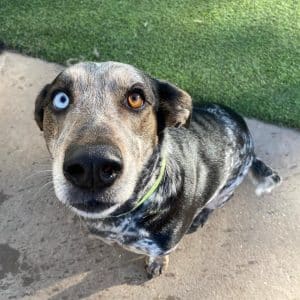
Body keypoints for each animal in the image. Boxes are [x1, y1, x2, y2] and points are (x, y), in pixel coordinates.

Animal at [35, 61, 282, 278]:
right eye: (60, 98)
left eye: (135, 98)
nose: (92, 166)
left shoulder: (164, 245)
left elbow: (160, 254)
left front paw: (157, 263)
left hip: (227, 187)